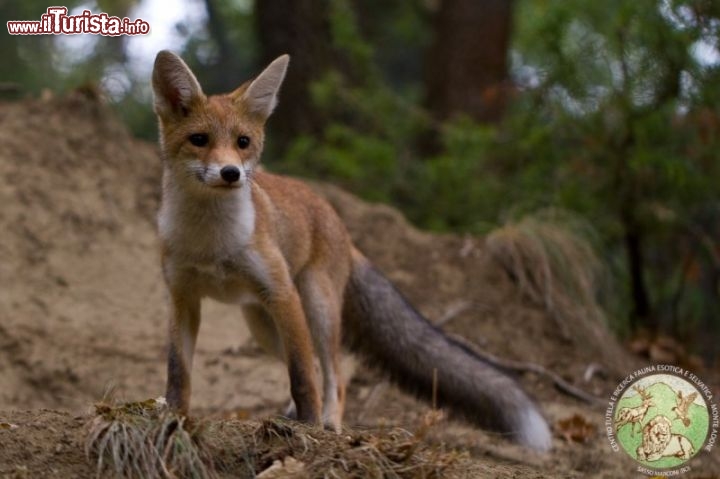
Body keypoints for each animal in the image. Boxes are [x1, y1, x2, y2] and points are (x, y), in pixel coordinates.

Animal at [152, 50, 556, 452]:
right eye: (199, 139)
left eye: (243, 141)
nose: (231, 173)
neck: (212, 243)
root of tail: (341, 226)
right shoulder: (183, 298)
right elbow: (178, 373)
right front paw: (173, 419)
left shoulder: (282, 295)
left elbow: (302, 378)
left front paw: (309, 427)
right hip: (264, 324)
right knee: (318, 366)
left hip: (313, 305)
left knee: (334, 371)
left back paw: (328, 422)